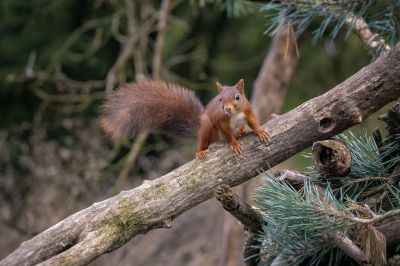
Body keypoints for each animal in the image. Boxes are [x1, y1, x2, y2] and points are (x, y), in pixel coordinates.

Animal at [100, 78, 270, 158]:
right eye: (220, 99)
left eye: (237, 97)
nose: (227, 109)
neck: (233, 114)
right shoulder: (221, 121)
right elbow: (227, 134)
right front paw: (233, 143)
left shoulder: (247, 112)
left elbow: (253, 122)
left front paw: (260, 131)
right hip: (207, 127)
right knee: (206, 142)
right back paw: (201, 151)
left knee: (238, 130)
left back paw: (240, 133)